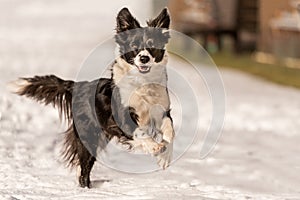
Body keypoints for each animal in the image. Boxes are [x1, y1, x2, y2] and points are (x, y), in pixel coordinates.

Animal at [11, 7, 175, 188]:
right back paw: (85, 188)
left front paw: (165, 157)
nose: (144, 58)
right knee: (84, 168)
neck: (142, 83)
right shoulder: (122, 118)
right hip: (88, 135)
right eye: (134, 46)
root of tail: (78, 85)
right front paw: (155, 147)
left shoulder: (162, 110)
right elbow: (140, 132)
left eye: (152, 45)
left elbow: (170, 129)